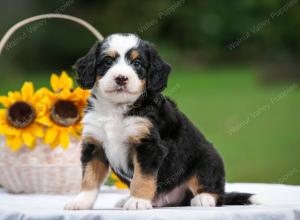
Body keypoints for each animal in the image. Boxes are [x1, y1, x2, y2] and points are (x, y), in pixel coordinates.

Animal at [64, 33, 262, 211]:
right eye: (107, 61)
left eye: (137, 63)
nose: (121, 78)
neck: (117, 109)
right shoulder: (94, 145)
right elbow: (89, 178)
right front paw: (81, 202)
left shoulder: (149, 146)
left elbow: (142, 178)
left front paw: (138, 201)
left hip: (207, 158)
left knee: (216, 191)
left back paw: (204, 198)